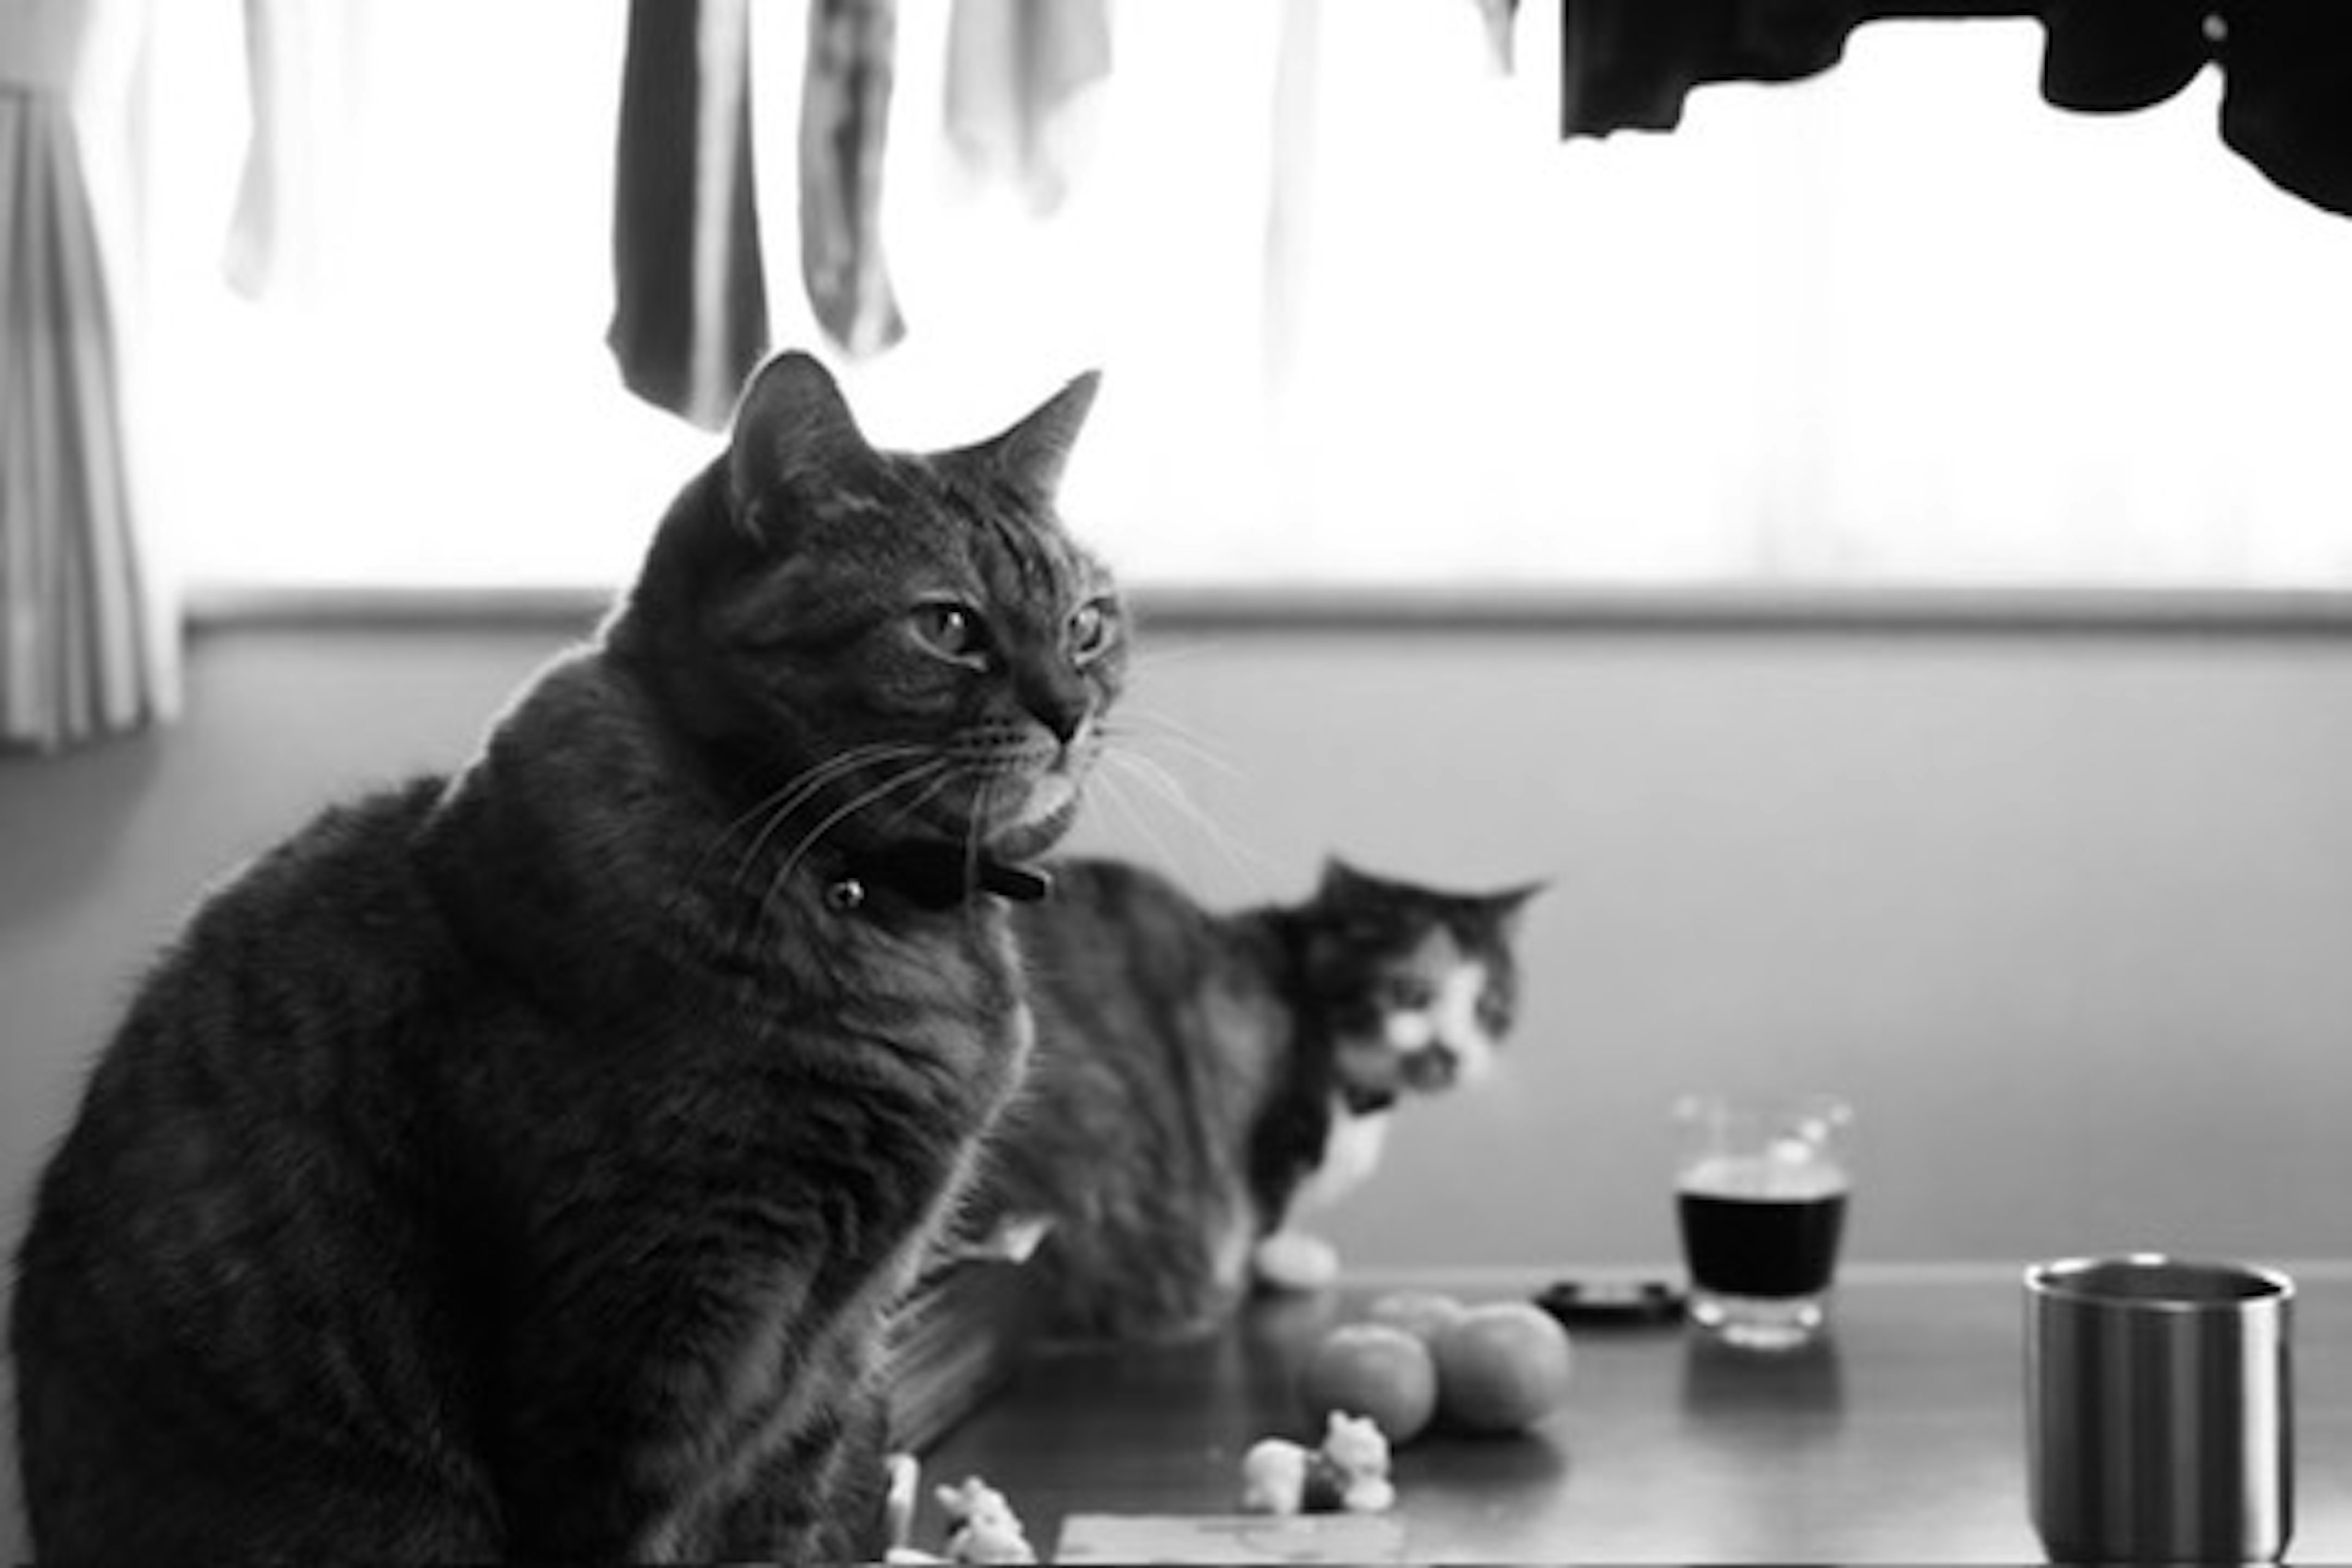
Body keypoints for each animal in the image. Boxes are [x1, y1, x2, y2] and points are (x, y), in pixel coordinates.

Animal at [9, 350, 1124, 1561]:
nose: (1071, 711)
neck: (873, 906)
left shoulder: (827, 1362)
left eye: (1088, 624)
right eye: (948, 626)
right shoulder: (634, 1355)